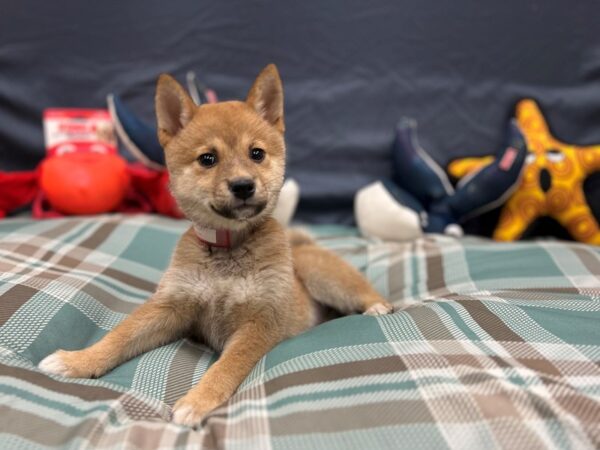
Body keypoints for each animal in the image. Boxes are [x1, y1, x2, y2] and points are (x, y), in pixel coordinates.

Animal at [38, 63, 394, 426]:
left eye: (256, 153)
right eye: (208, 158)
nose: (243, 185)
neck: (226, 249)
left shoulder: (259, 322)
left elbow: (226, 367)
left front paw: (198, 401)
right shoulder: (171, 307)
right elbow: (121, 335)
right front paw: (77, 361)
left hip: (321, 275)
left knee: (367, 294)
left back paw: (378, 307)